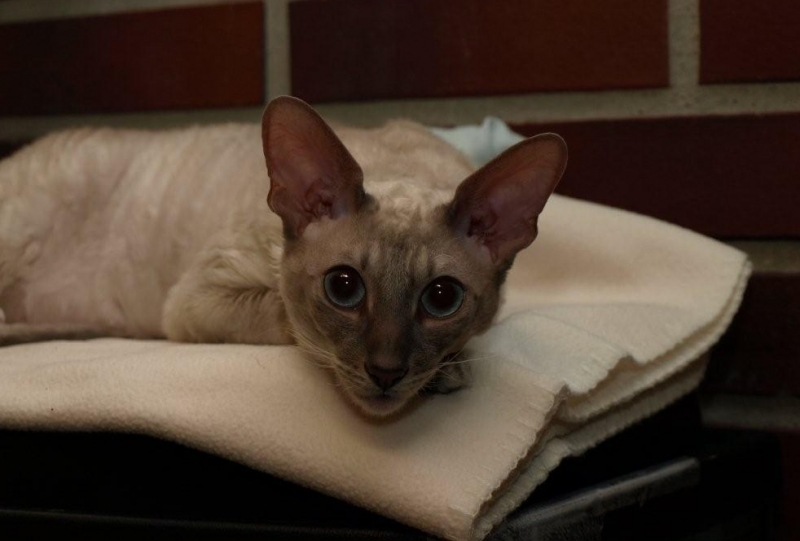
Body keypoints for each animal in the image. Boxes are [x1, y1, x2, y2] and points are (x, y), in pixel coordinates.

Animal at [0, 96, 567, 417]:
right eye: (343, 287)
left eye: (442, 298)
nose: (385, 372)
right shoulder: (195, 301)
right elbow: (289, 320)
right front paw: (448, 373)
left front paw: (449, 367)